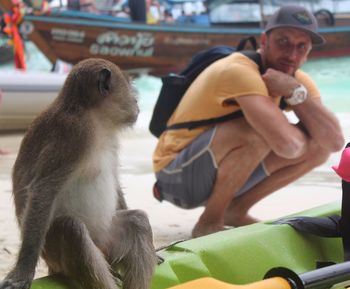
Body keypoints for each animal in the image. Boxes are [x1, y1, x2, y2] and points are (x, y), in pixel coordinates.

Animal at [0, 58, 157, 288]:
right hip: (54, 251)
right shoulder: (74, 134)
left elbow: (115, 180)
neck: (94, 117)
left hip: (106, 241)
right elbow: (44, 191)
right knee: (72, 229)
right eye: (131, 89)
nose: (137, 104)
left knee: (137, 221)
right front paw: (23, 271)